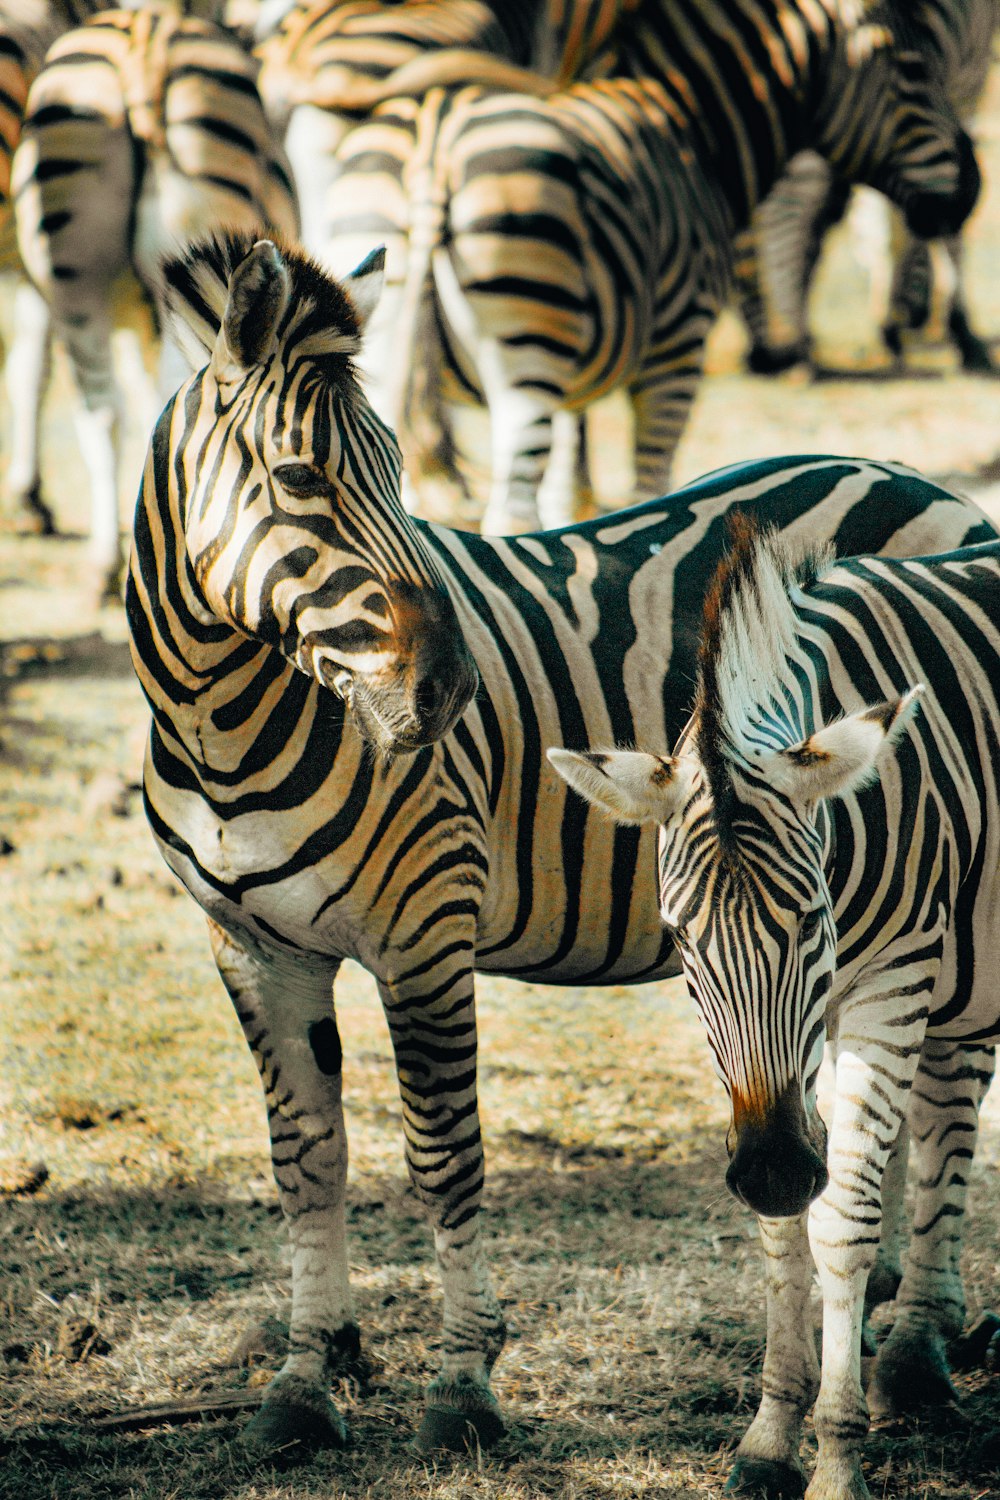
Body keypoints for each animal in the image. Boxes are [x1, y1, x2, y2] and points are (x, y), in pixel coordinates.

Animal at [551, 522, 1000, 1500]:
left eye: (806, 921)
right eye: (679, 938)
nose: (770, 1169)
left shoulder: (892, 980)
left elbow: (841, 1219)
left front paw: (835, 1455)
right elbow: (782, 1233)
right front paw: (770, 1433)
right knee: (944, 1115)